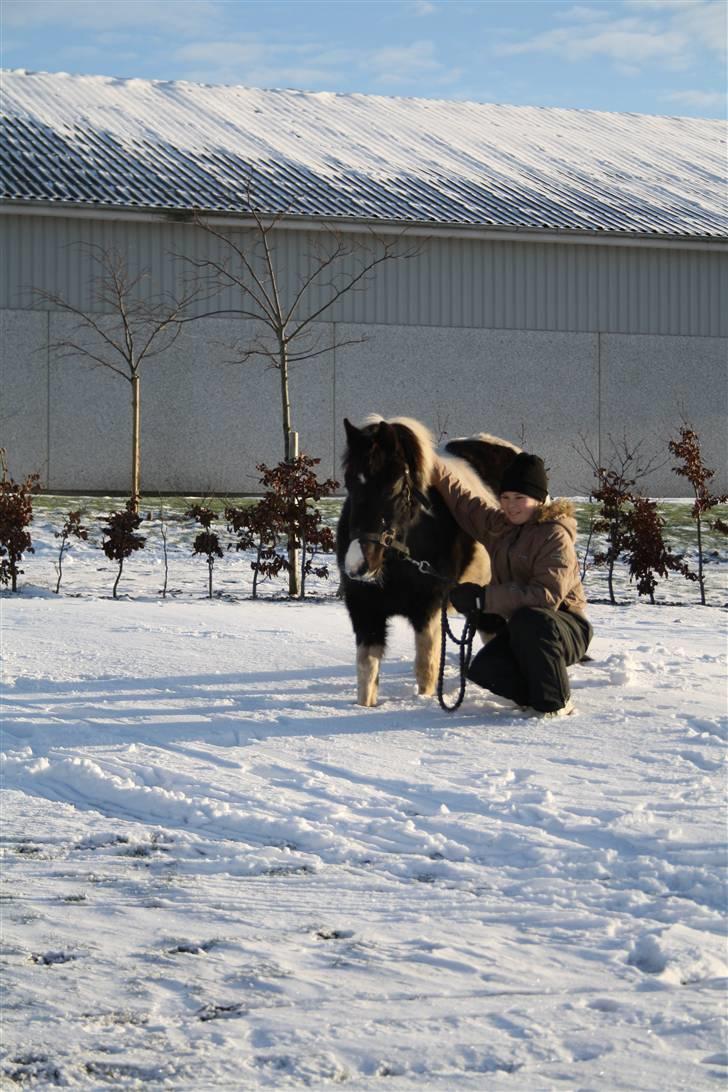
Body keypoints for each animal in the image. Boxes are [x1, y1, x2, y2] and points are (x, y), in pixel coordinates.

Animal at [336, 415, 519, 706]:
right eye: (349, 482)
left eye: (396, 485)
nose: (357, 566)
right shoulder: (365, 611)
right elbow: (366, 675)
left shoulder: (428, 611)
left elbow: (426, 669)